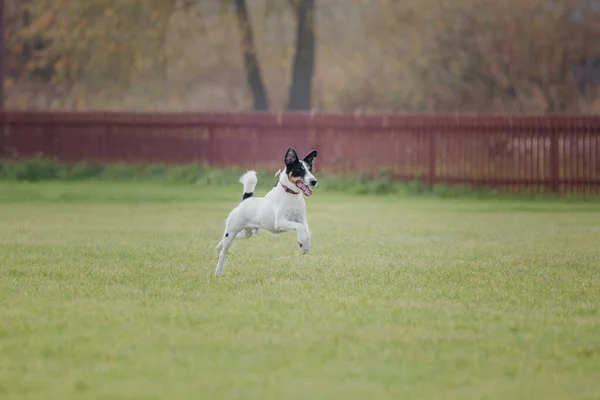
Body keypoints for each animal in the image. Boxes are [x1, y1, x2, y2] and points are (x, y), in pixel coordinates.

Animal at [216, 147, 318, 276]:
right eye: (299, 170)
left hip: (247, 233)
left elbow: (307, 231)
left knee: (236, 237)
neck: (291, 194)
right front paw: (301, 240)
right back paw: (218, 270)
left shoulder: (301, 219)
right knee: (223, 253)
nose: (314, 181)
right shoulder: (280, 222)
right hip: (231, 231)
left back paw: (218, 246)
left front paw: (305, 245)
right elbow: (300, 227)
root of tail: (246, 199)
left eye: (310, 170)